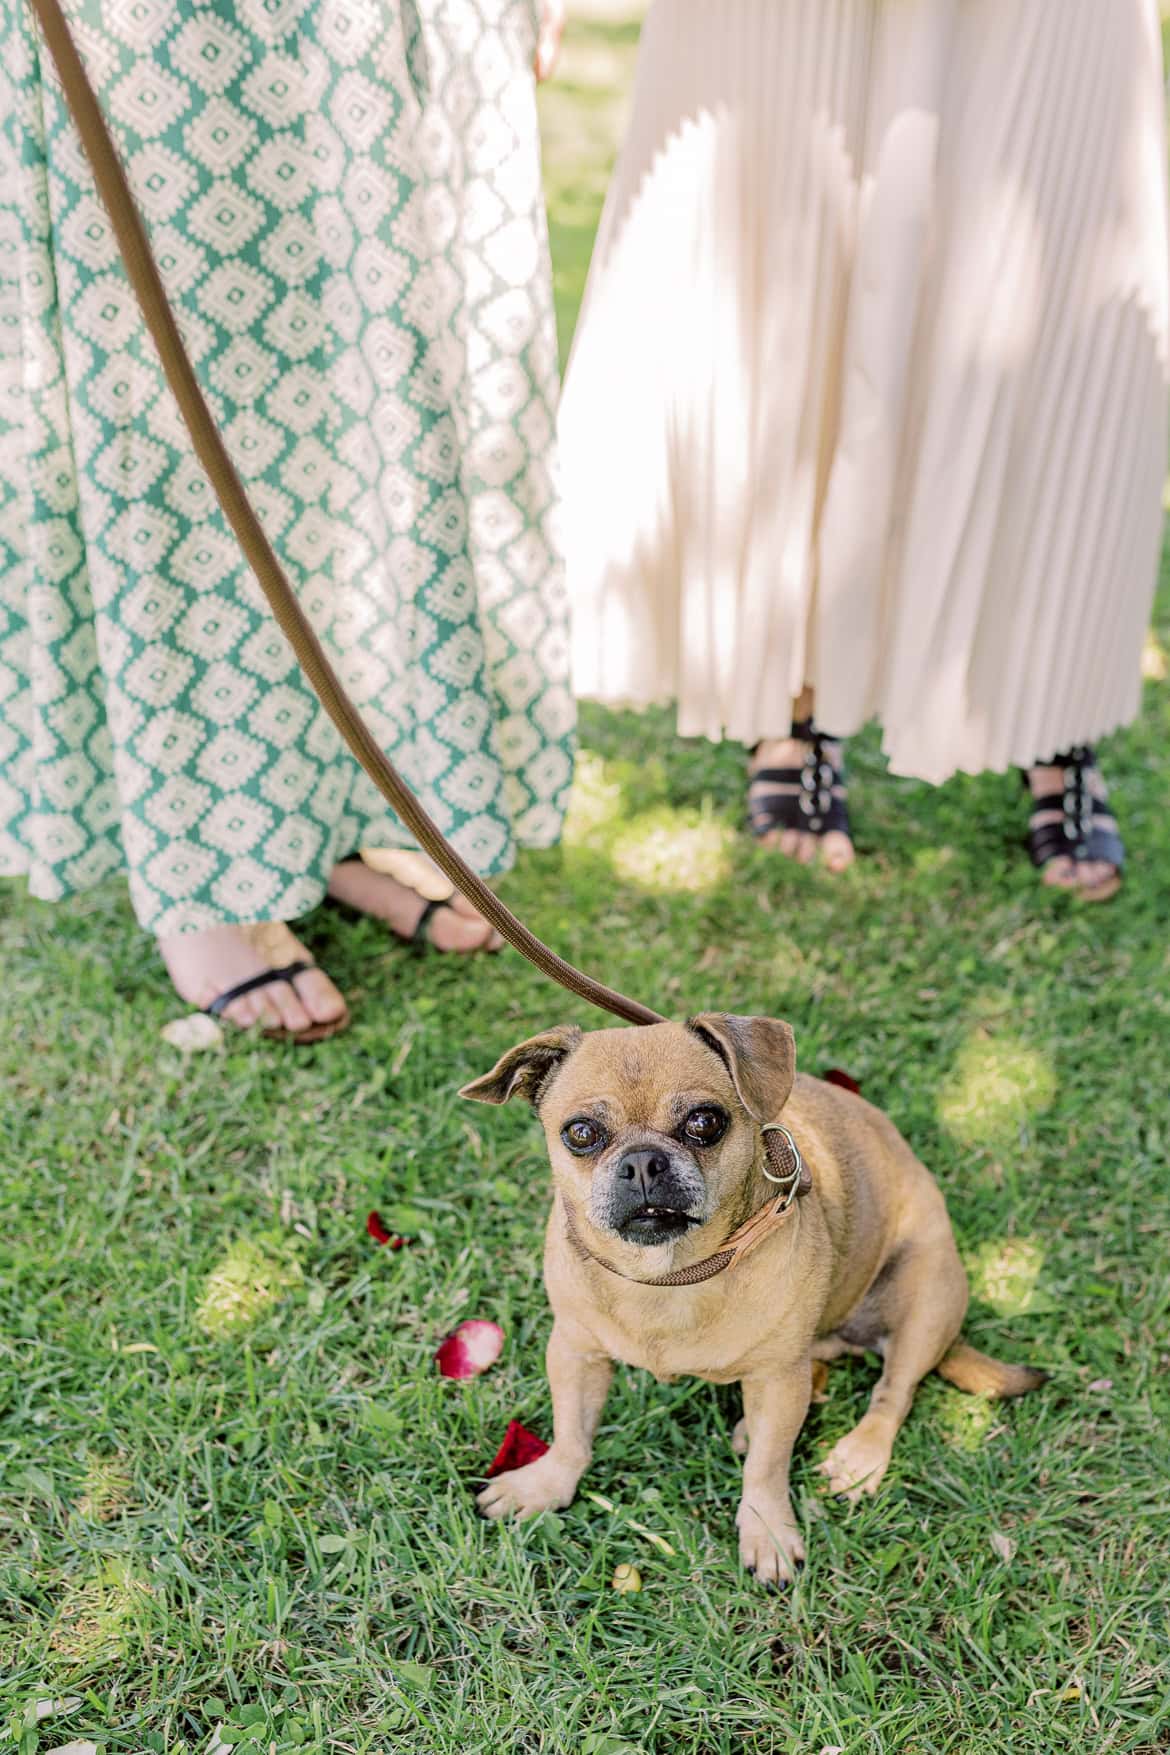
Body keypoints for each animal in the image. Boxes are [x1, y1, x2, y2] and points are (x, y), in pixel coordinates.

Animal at [459, 1010, 1045, 1586]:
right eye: (580, 1133)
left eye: (704, 1122)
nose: (644, 1161)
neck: (672, 1276)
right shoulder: (575, 1354)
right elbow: (571, 1435)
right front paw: (545, 1485)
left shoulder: (777, 1378)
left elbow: (766, 1467)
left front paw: (766, 1532)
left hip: (926, 1297)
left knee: (893, 1391)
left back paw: (859, 1456)